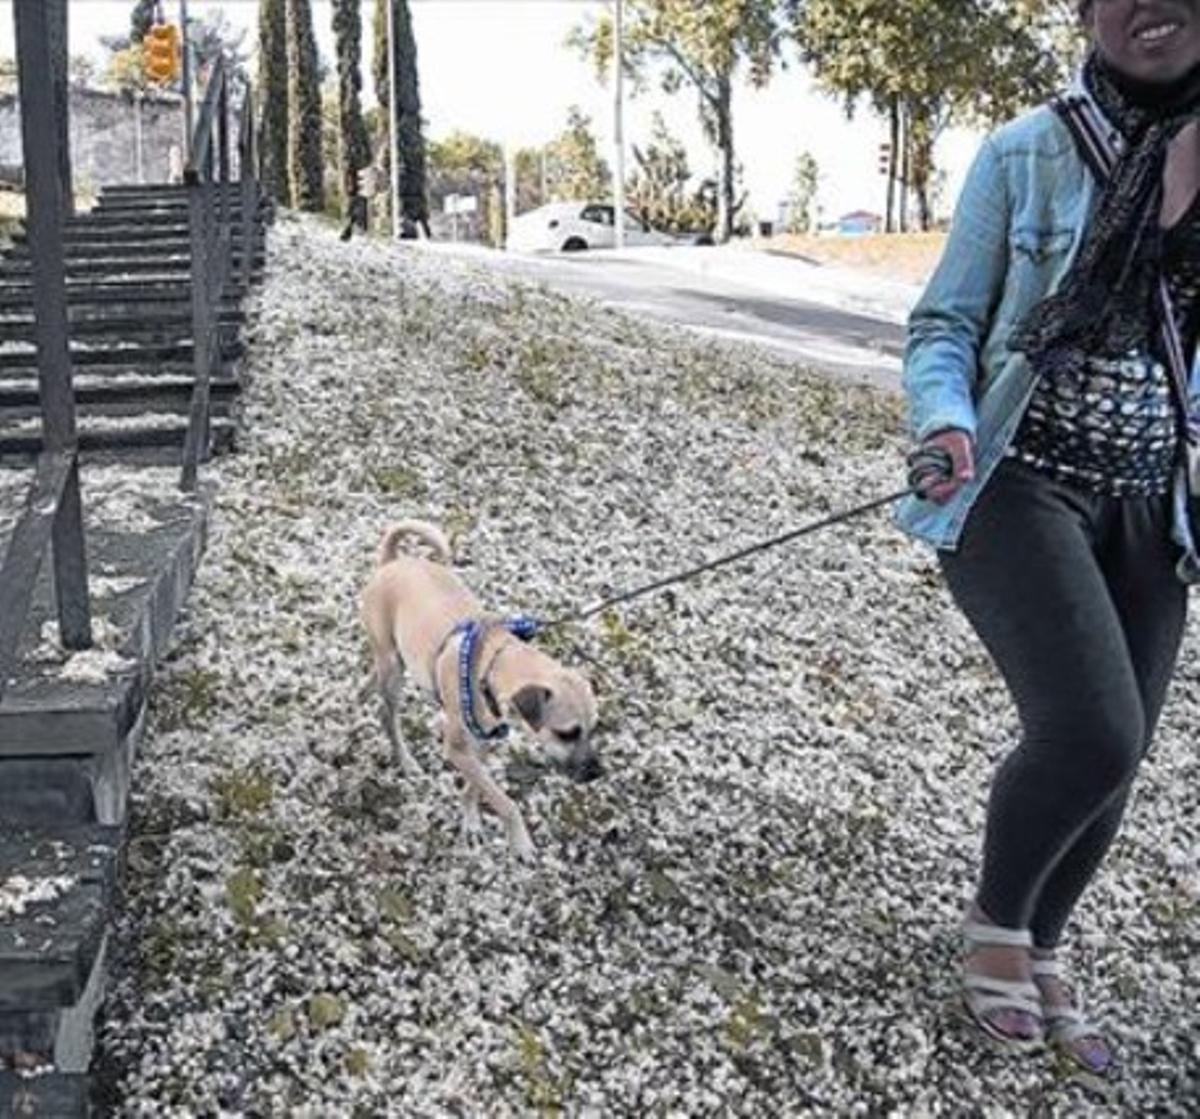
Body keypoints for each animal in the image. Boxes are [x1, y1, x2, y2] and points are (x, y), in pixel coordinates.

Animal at [355, 521, 600, 859]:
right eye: (566, 733)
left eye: (593, 728)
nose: (596, 774)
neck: (492, 665)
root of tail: (392, 561)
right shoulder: (457, 750)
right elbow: (505, 801)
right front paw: (520, 841)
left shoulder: (483, 742)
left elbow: (477, 787)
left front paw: (470, 821)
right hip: (393, 670)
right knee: (387, 715)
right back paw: (404, 759)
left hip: (396, 658)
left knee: (376, 672)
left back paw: (365, 690)